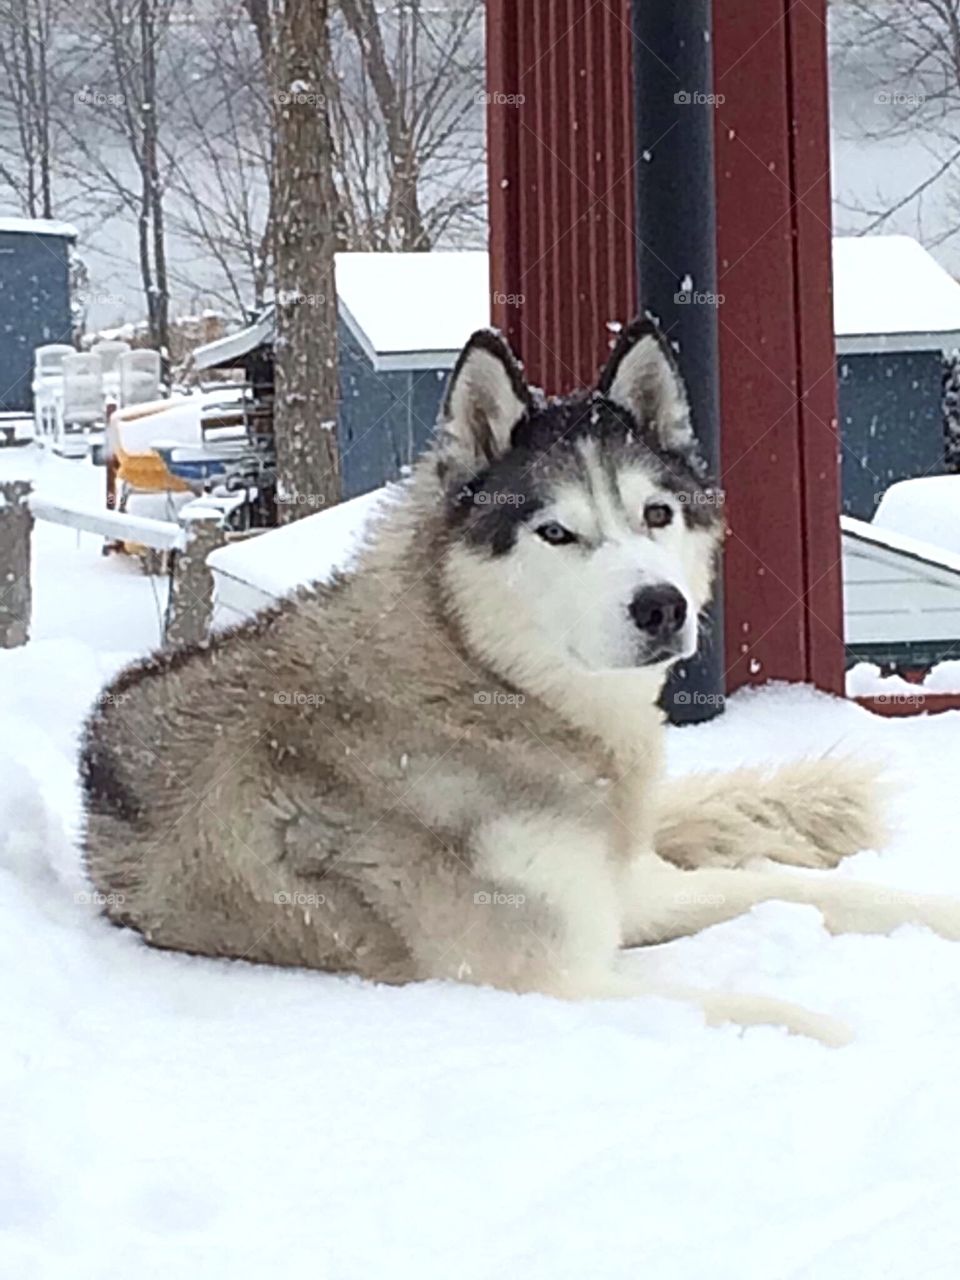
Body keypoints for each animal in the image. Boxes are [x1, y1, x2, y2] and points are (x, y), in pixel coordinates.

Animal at [80, 317, 960, 1039]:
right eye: (556, 532)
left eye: (658, 514)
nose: (662, 606)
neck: (489, 689)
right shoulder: (545, 981)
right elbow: (763, 1011)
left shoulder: (633, 894)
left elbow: (832, 896)